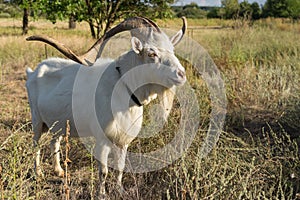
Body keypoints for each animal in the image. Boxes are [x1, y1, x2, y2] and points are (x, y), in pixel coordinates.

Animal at [25, 17, 186, 195]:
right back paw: (38, 173)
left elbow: (121, 167)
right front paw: (101, 194)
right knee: (36, 144)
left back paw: (59, 171)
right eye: (152, 54)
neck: (123, 87)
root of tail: (32, 72)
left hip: (58, 122)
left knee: (54, 142)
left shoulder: (123, 141)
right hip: (36, 120)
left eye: (172, 50)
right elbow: (103, 171)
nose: (181, 74)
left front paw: (120, 190)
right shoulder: (102, 140)